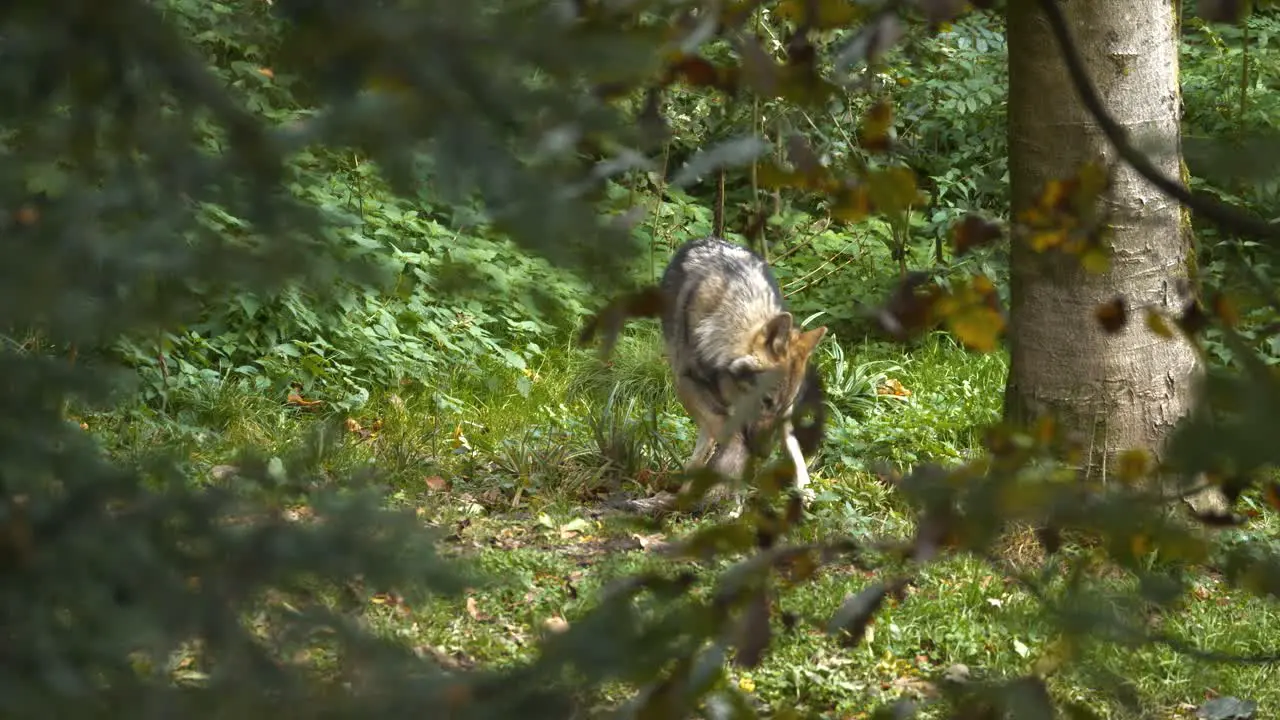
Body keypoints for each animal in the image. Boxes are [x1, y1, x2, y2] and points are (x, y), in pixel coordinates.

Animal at [660, 235, 829, 499]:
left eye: (779, 404)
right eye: (766, 400)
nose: (763, 454)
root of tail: (707, 238)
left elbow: (790, 444)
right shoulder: (685, 382)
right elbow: (723, 431)